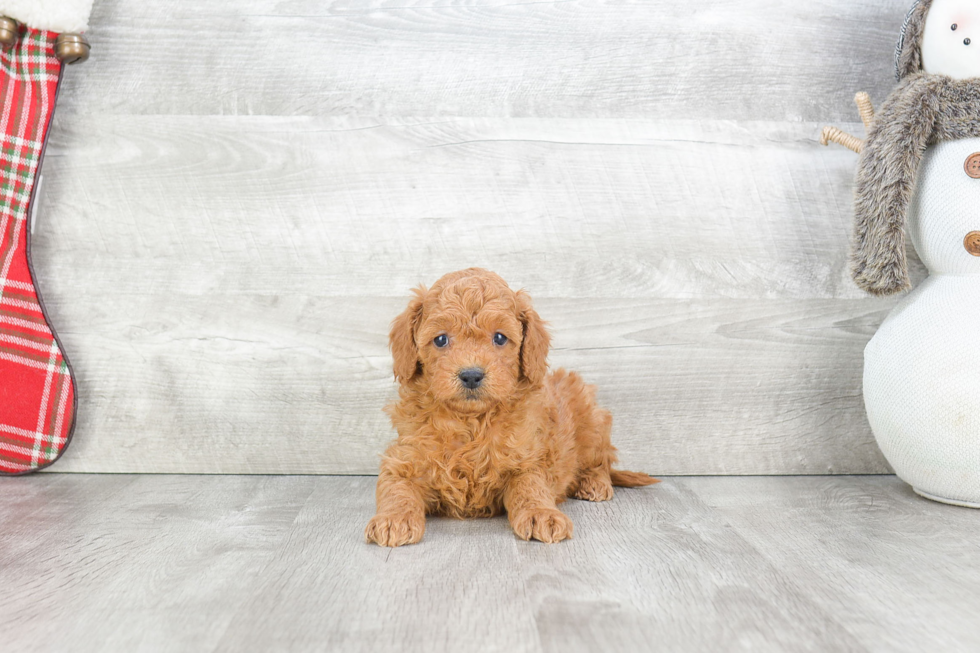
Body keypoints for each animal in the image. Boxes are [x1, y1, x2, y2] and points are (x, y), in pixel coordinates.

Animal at [368, 266, 660, 544]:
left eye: (499, 338)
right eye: (441, 339)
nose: (471, 375)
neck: (471, 422)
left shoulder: (528, 459)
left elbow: (530, 487)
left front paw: (542, 514)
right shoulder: (404, 460)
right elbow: (396, 489)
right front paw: (393, 519)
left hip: (592, 418)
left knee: (602, 461)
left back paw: (594, 483)